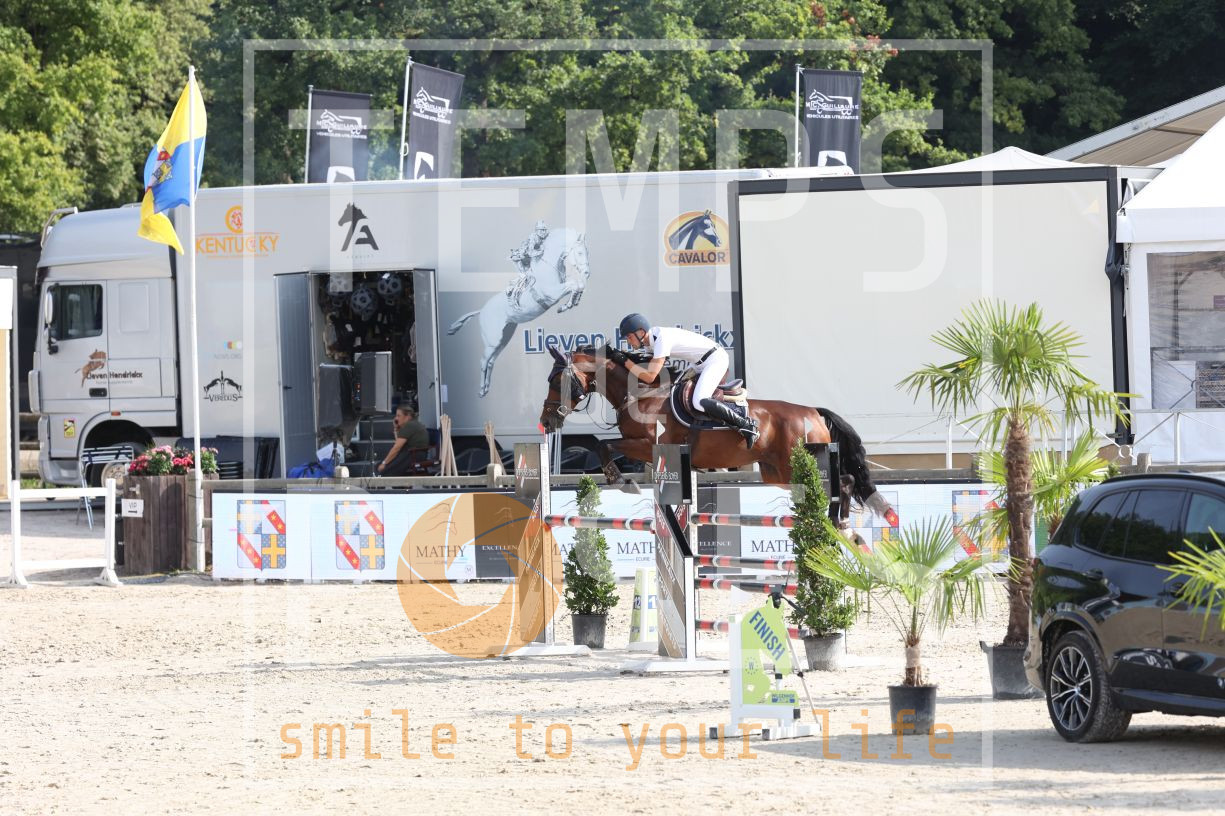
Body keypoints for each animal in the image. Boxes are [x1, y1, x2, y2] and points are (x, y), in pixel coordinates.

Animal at [448, 228, 591, 397]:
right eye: (580, 252)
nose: (587, 272)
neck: (548, 266)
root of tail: (482, 310)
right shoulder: (552, 293)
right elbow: (575, 284)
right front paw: (566, 305)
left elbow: (578, 285)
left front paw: (571, 303)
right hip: (492, 341)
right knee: (483, 362)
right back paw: (482, 390)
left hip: (503, 339)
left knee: (490, 361)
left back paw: (487, 387)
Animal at [538, 345, 896, 522]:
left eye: (556, 381)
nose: (547, 420)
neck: (641, 393)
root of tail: (812, 412)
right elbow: (605, 446)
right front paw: (624, 482)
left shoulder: (647, 444)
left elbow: (605, 446)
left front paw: (622, 482)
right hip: (777, 471)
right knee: (837, 483)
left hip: (803, 462)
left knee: (844, 482)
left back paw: (840, 522)